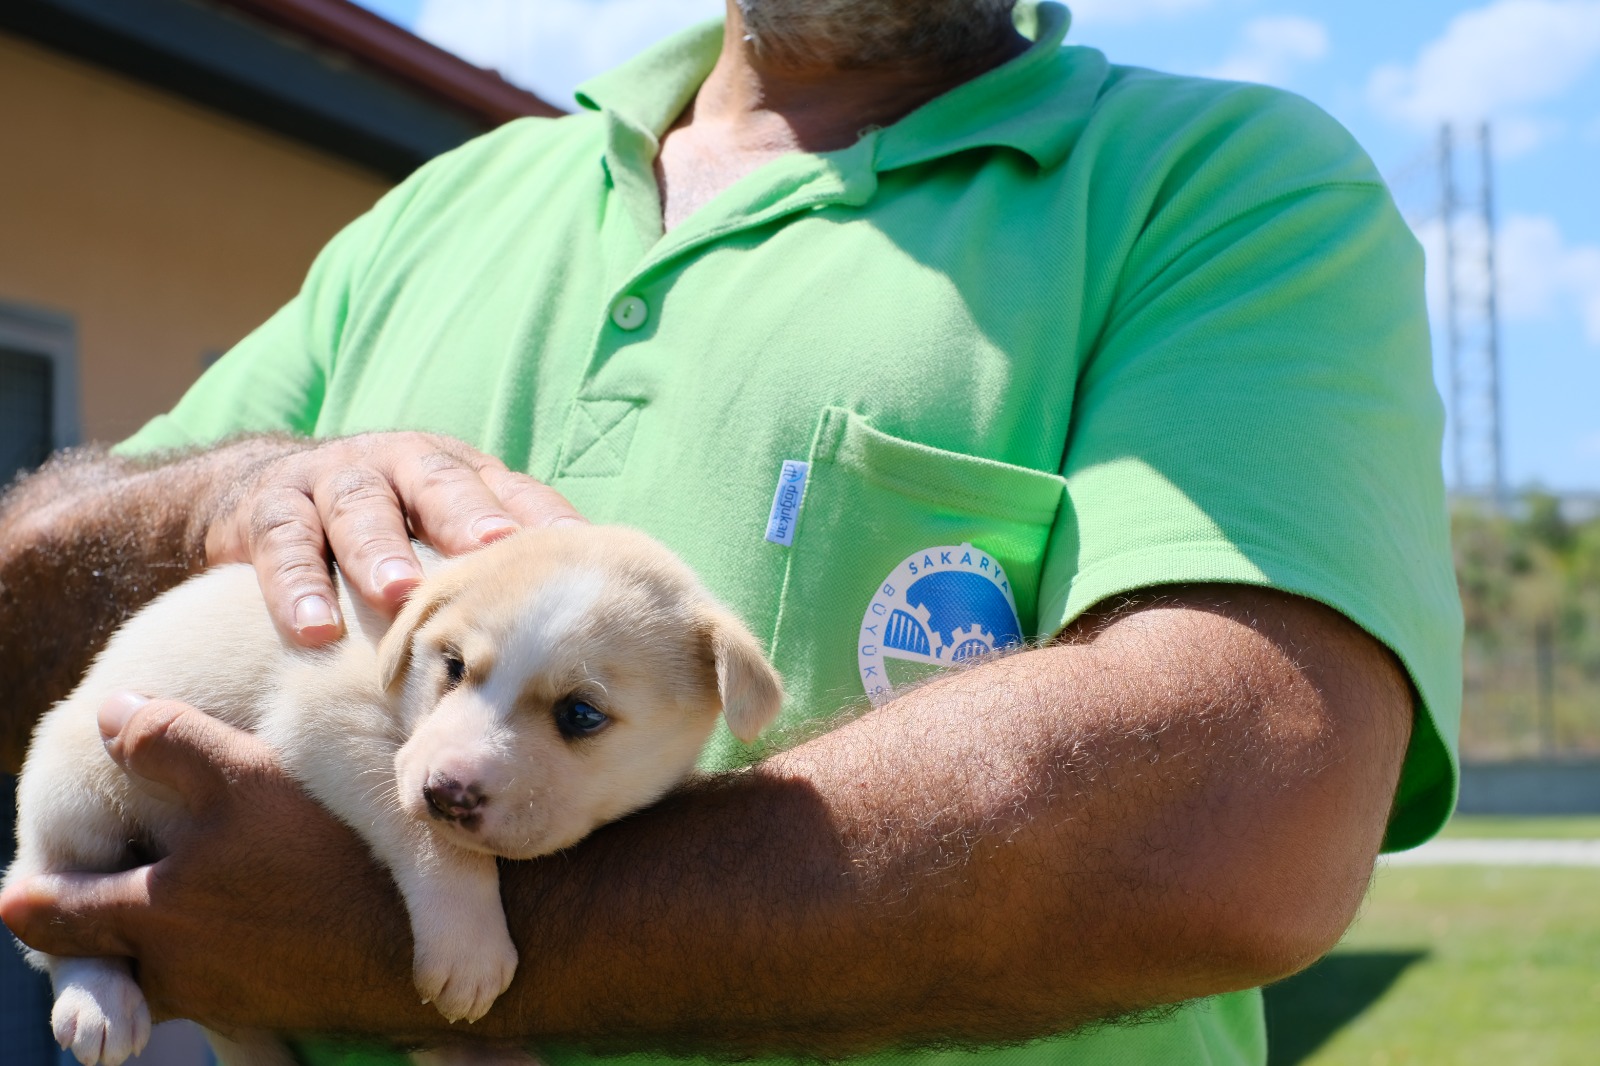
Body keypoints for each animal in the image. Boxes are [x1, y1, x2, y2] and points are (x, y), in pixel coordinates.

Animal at [6, 521, 780, 1062]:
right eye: (453, 665)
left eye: (581, 715)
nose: (447, 792)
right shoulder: (327, 717)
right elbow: (428, 839)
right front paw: (467, 945)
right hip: (76, 787)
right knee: (52, 903)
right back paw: (98, 1001)